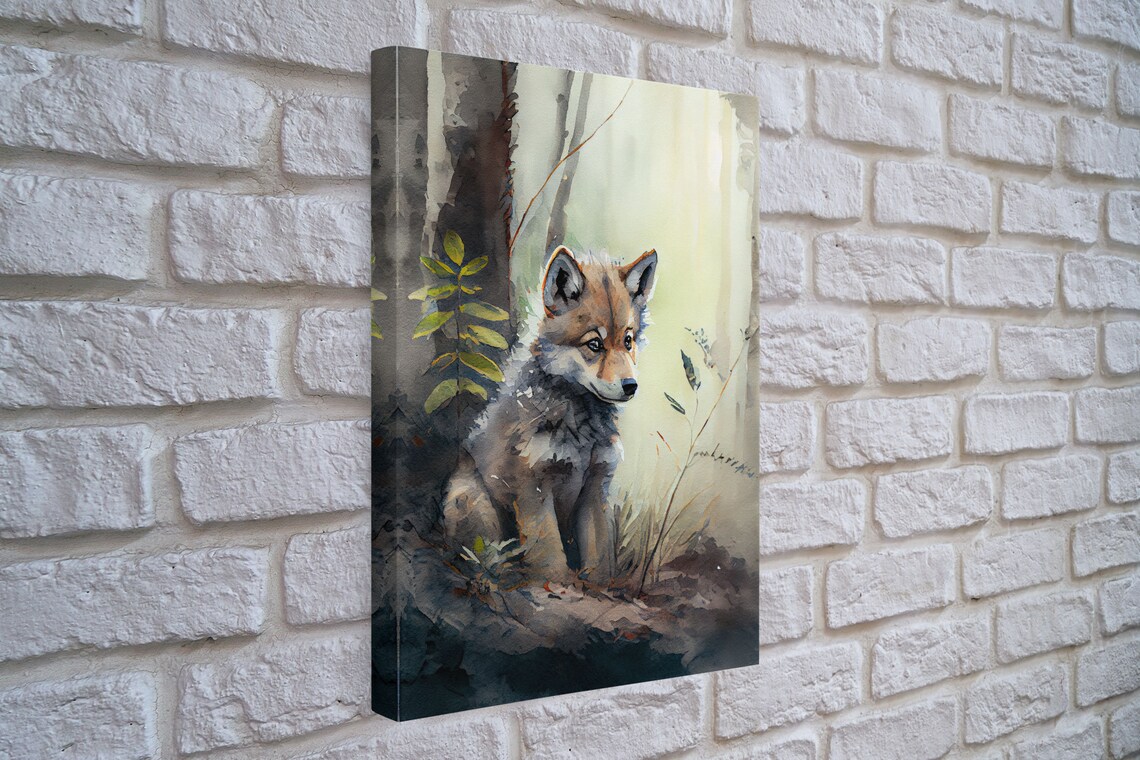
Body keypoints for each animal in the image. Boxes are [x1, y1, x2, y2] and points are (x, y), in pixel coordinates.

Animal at [442, 245, 658, 582]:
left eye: (628, 341)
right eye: (594, 344)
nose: (631, 386)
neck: (581, 431)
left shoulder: (595, 487)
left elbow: (600, 559)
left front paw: (598, 585)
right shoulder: (533, 487)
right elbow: (549, 559)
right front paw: (555, 585)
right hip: (476, 505)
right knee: (483, 559)